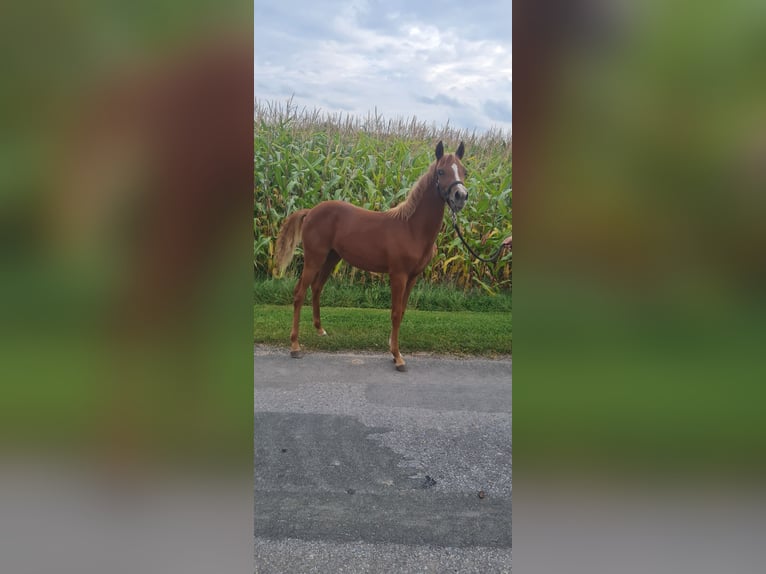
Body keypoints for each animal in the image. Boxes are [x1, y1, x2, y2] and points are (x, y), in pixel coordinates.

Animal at [274, 142, 468, 372]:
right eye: (441, 172)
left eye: (464, 171)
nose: (460, 196)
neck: (412, 229)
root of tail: (311, 211)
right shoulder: (398, 275)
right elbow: (395, 312)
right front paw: (397, 357)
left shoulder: (413, 277)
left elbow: (402, 311)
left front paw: (393, 348)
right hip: (314, 259)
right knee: (299, 293)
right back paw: (295, 346)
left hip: (331, 259)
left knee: (317, 288)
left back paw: (320, 330)